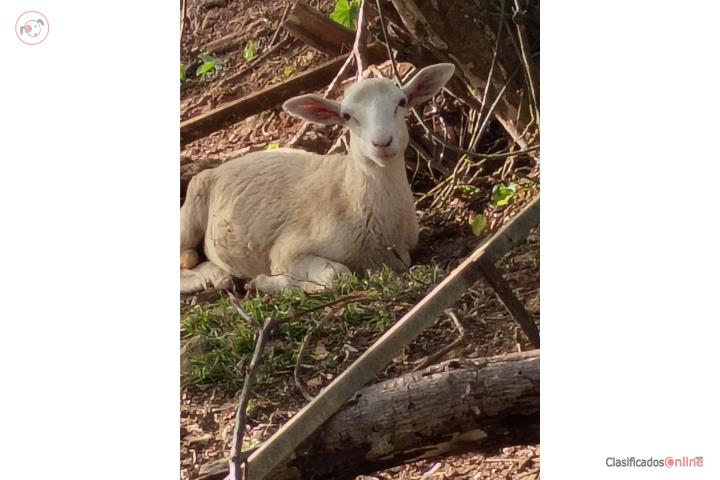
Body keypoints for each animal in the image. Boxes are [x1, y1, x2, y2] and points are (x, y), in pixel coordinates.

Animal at [180, 63, 455, 293]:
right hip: (191, 212)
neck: (350, 196)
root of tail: (220, 166)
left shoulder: (402, 255)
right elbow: (337, 274)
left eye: (401, 101)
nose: (382, 143)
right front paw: (272, 283)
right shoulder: (286, 251)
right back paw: (214, 277)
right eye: (347, 116)